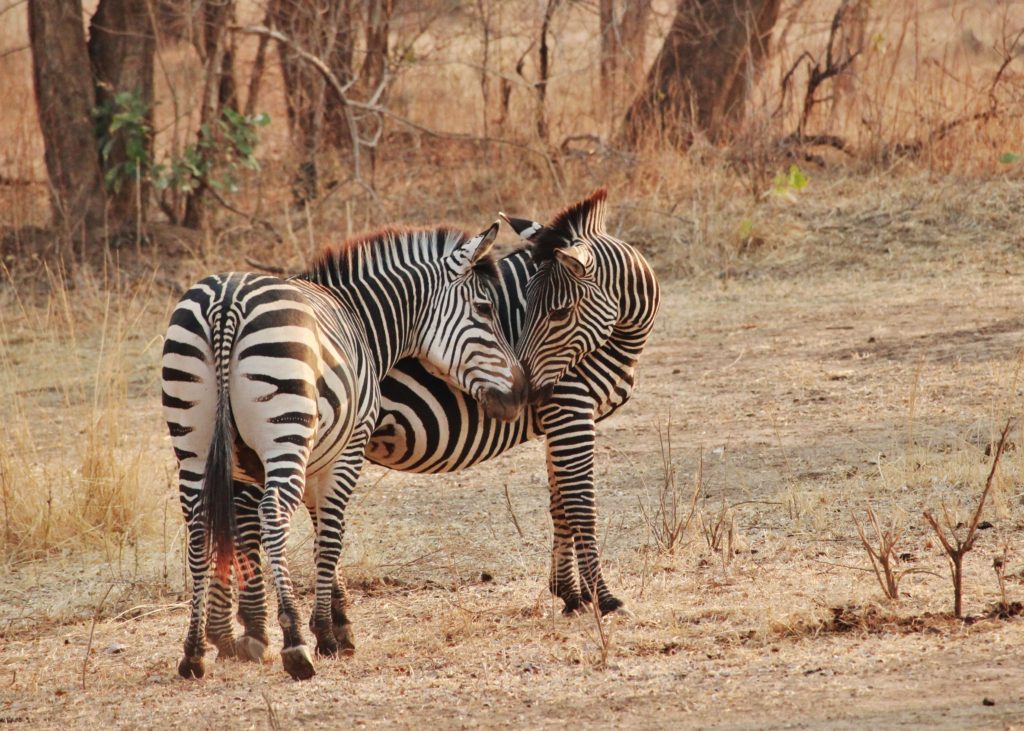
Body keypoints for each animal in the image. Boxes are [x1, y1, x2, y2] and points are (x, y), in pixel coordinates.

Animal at [162, 223, 527, 680]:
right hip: (285, 432)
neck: (361, 319)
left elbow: (319, 532)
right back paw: (294, 644)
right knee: (273, 515)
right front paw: (325, 633)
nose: (521, 394)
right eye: (484, 309)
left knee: (197, 528)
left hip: (191, 441)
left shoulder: (314, 459)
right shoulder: (347, 451)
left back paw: (192, 652)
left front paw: (333, 624)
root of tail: (226, 303)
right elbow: (332, 535)